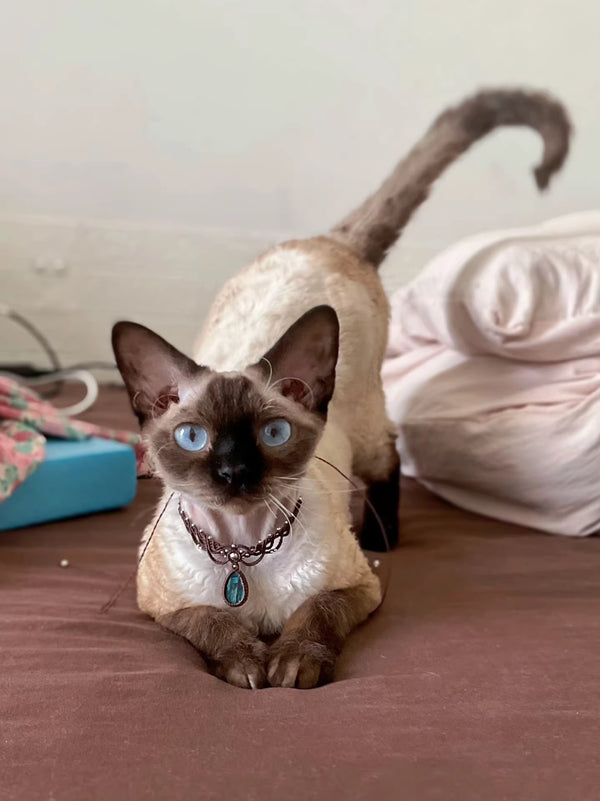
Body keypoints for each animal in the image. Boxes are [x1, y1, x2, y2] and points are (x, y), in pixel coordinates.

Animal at [113, 87, 572, 688]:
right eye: (194, 438)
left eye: (274, 432)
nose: (235, 473)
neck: (241, 549)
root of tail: (328, 241)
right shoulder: (160, 604)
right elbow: (211, 621)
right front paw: (246, 666)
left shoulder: (359, 587)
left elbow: (315, 613)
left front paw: (290, 667)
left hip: (367, 430)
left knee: (391, 458)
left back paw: (385, 537)